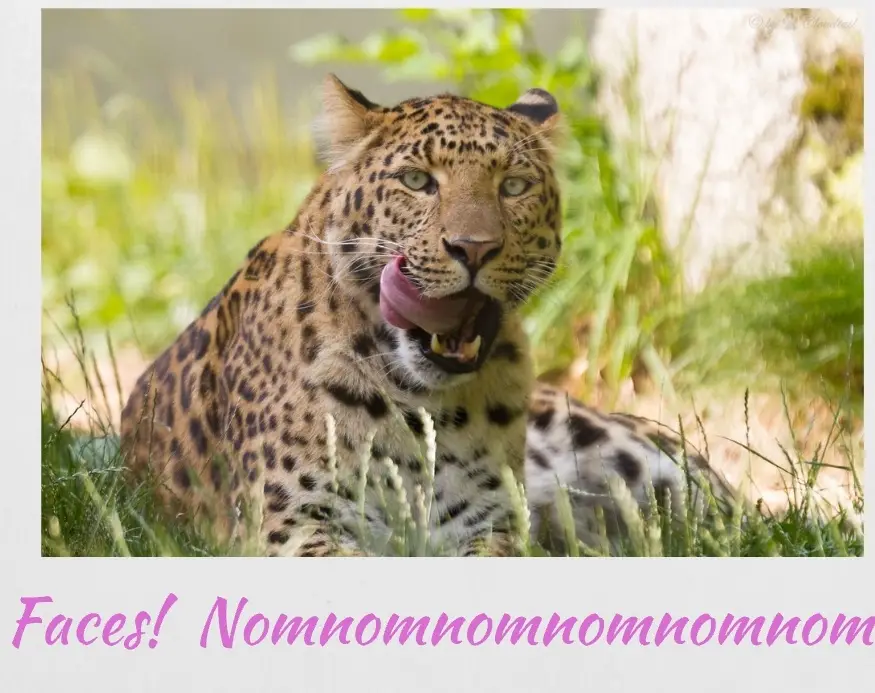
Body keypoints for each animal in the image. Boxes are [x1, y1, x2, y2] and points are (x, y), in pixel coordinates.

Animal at [119, 74, 739, 557]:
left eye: (514, 186)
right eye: (418, 181)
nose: (474, 249)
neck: (417, 405)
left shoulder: (490, 526)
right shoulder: (290, 524)